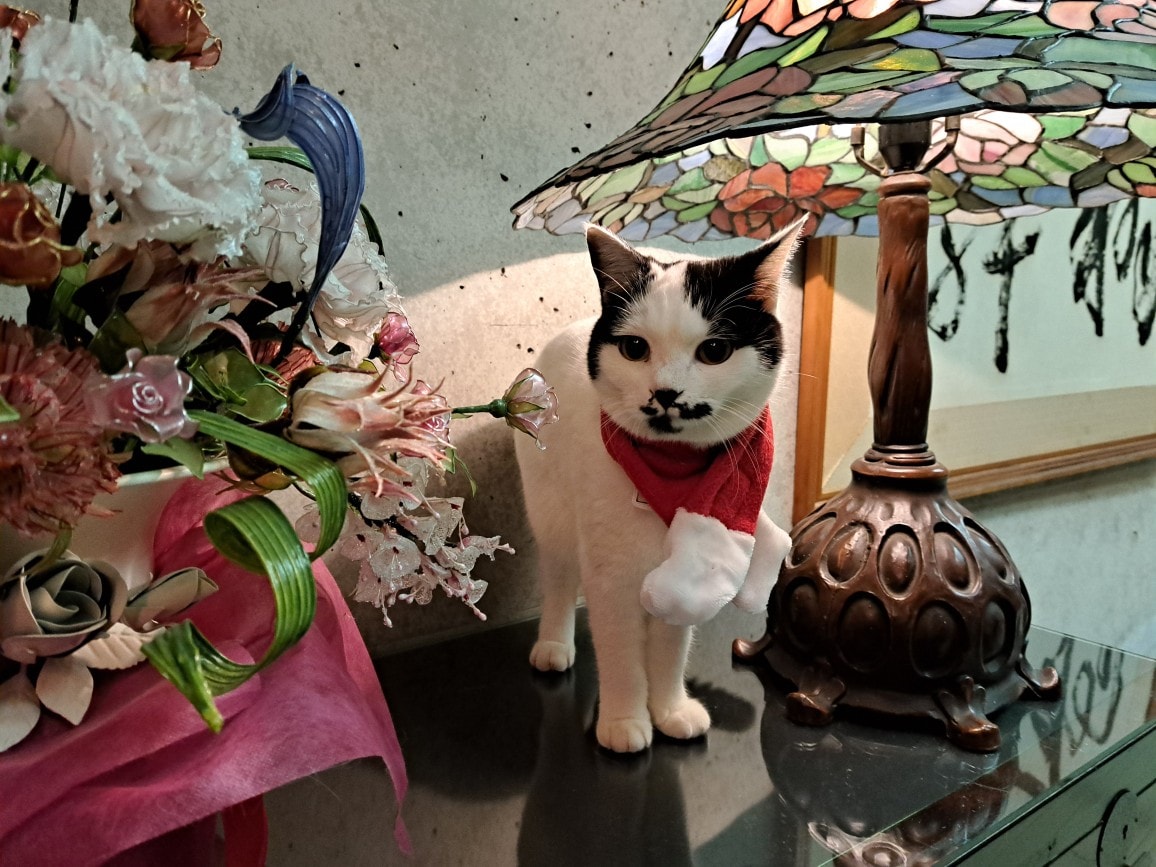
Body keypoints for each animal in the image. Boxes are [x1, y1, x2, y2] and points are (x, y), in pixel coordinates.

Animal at [514, 219, 803, 753]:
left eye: (715, 351)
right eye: (634, 349)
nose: (665, 392)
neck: (670, 474)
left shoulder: (686, 574)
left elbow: (669, 650)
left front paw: (668, 709)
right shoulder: (610, 575)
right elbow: (621, 655)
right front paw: (625, 720)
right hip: (553, 513)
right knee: (560, 576)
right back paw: (554, 644)